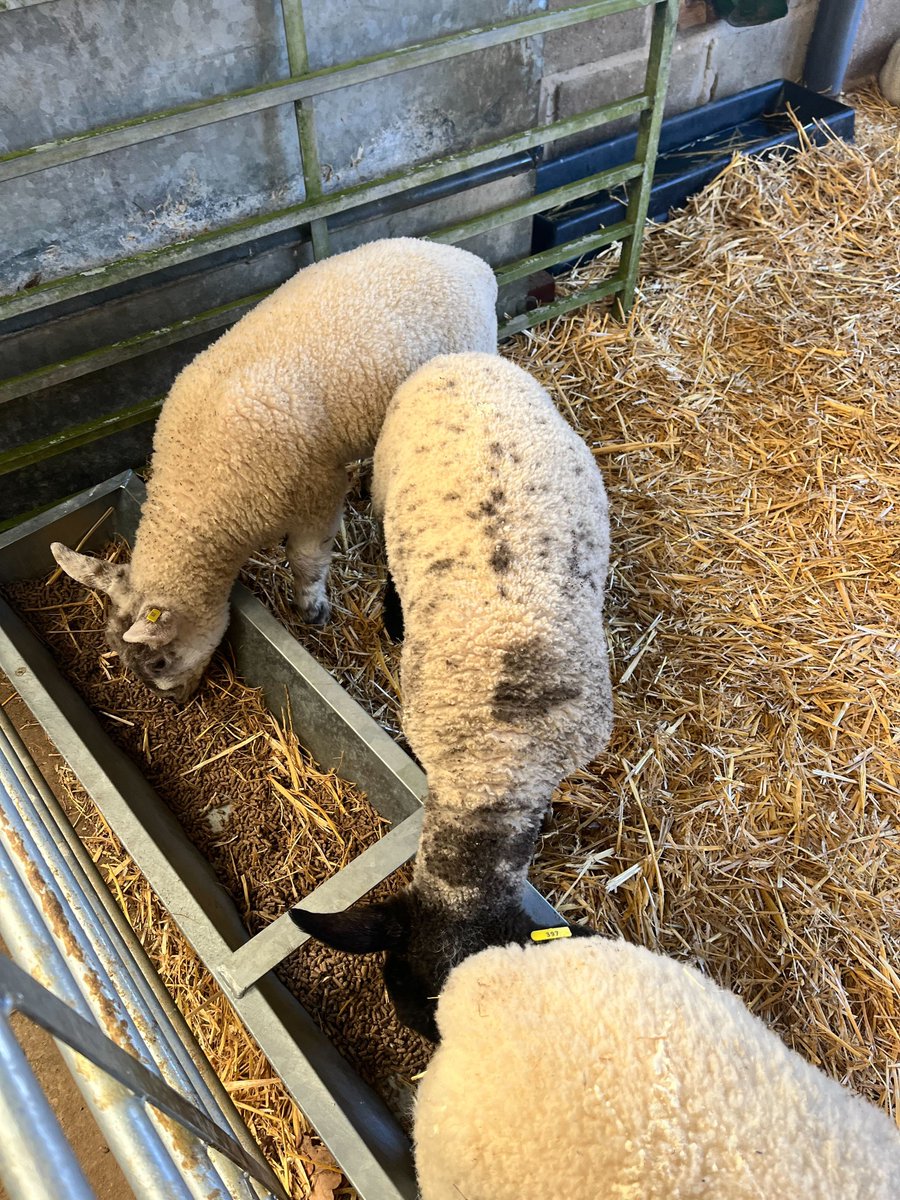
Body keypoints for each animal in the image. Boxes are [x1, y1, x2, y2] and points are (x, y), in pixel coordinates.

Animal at [50, 238, 498, 703]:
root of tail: (464, 258)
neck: (194, 489)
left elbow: (306, 560)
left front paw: (312, 608)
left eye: (158, 662)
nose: (176, 702)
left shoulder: (317, 491)